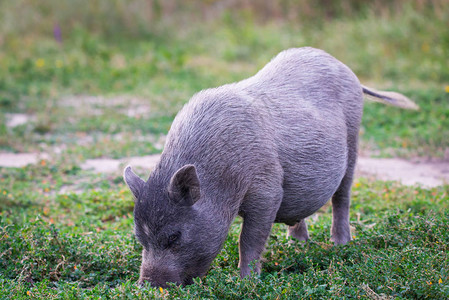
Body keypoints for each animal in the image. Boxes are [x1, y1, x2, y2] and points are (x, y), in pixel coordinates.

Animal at [122, 47, 416, 288]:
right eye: (140, 239)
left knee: (342, 197)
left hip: (354, 141)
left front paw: (245, 282)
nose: (147, 286)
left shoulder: (267, 190)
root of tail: (347, 69)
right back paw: (297, 246)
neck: (221, 180)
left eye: (174, 236)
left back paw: (339, 245)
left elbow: (248, 239)